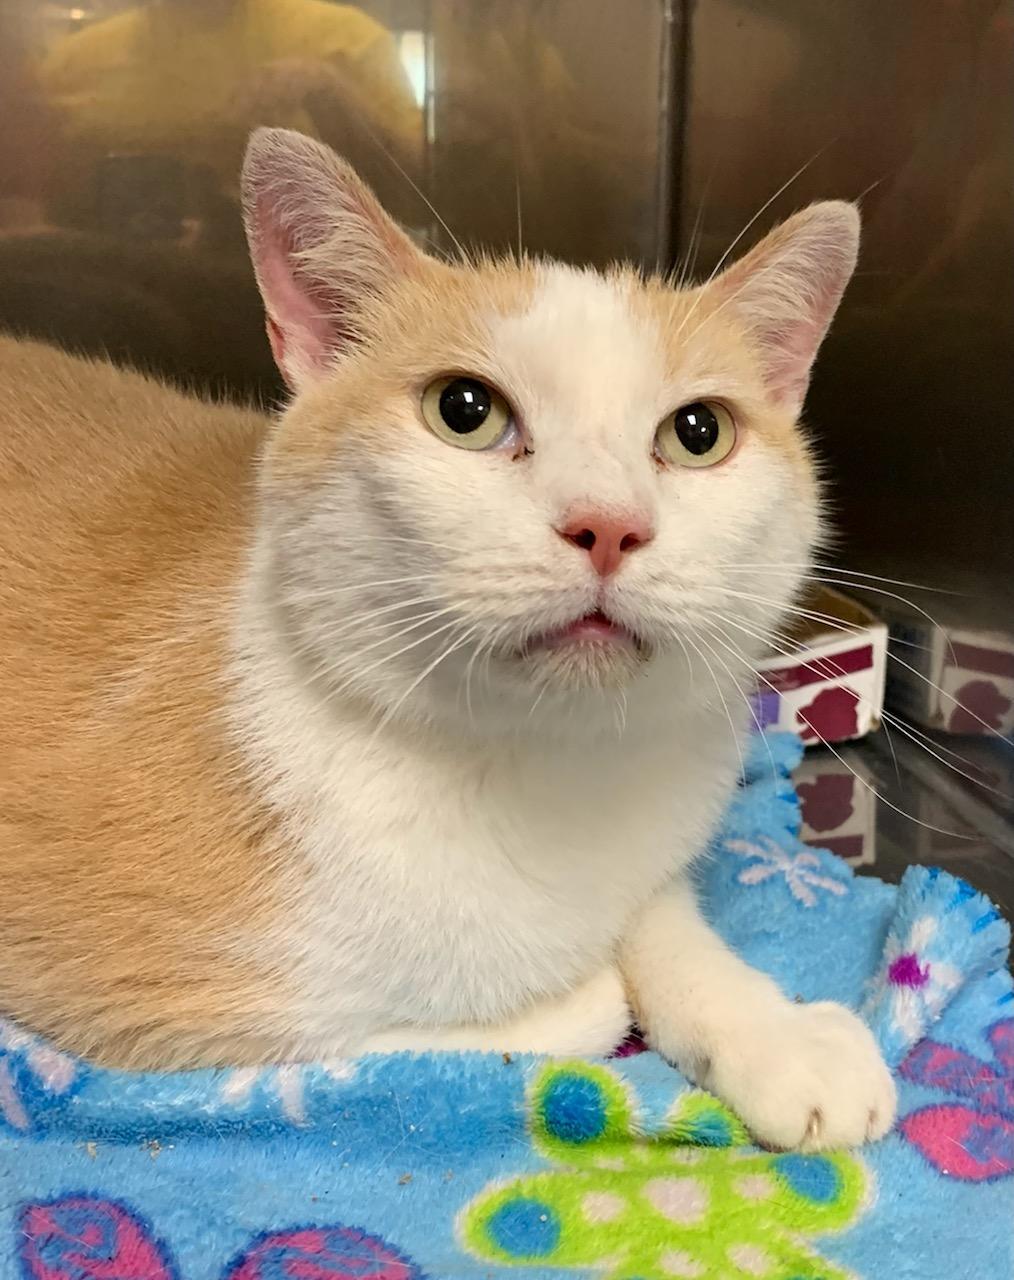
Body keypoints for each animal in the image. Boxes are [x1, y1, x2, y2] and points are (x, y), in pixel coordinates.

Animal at [0, 127, 896, 1152]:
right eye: (464, 411)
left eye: (699, 432)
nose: (609, 525)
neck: (534, 766)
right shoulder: (127, 989)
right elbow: (454, 1030)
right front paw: (582, 995)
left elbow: (657, 909)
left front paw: (773, 1031)